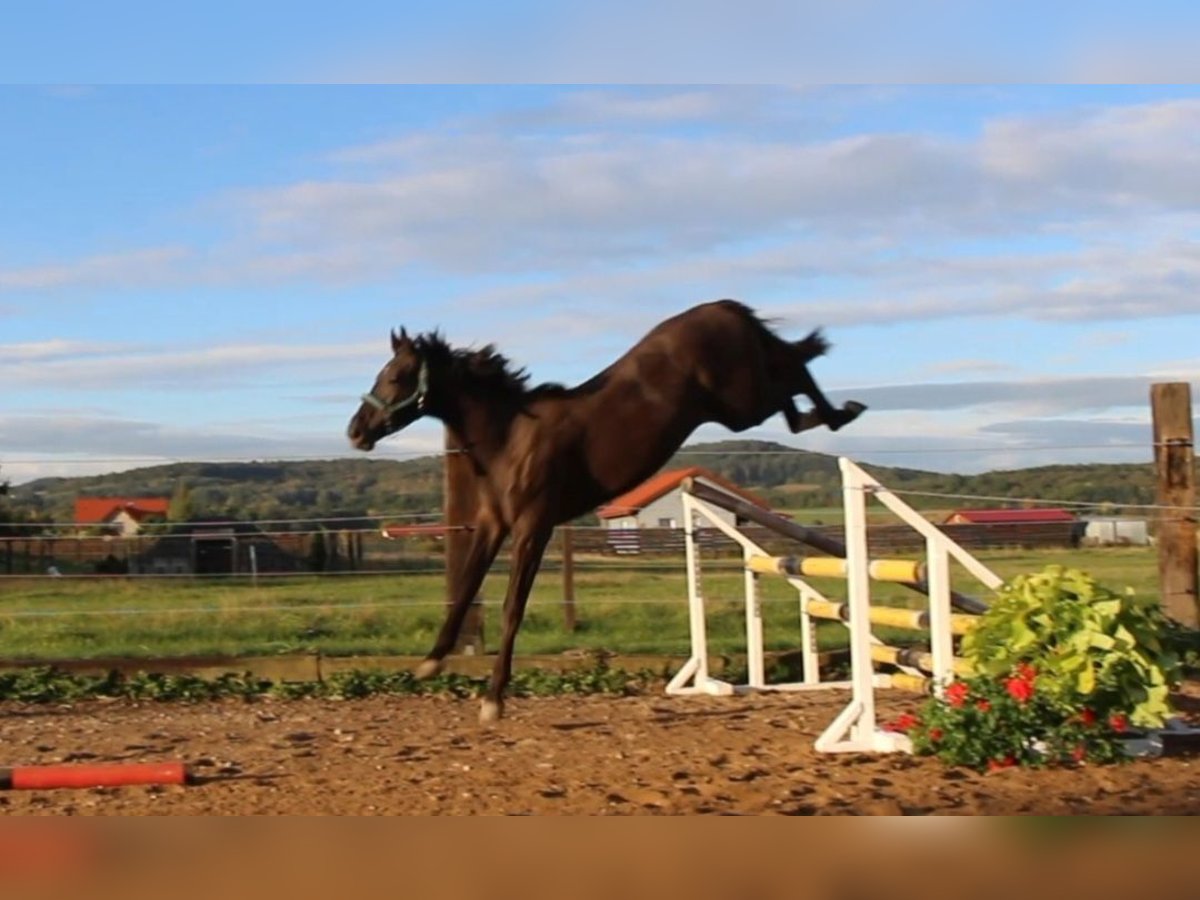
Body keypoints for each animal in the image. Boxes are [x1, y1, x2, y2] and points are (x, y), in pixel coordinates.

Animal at [348, 300, 864, 724]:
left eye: (395, 376)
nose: (356, 431)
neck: (510, 438)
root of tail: (725, 307)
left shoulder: (533, 526)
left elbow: (513, 608)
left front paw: (493, 700)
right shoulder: (494, 524)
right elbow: (464, 591)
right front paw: (429, 664)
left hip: (741, 402)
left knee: (793, 374)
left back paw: (841, 411)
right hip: (741, 401)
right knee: (791, 383)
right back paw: (830, 411)